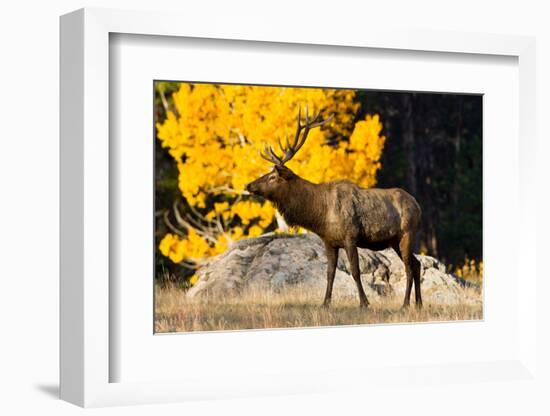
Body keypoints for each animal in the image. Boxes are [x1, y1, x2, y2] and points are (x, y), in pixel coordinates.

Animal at [248, 107, 424, 308]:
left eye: (272, 177)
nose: (249, 185)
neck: (320, 215)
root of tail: (418, 206)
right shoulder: (329, 241)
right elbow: (329, 273)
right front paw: (325, 303)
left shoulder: (350, 237)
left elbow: (355, 271)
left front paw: (364, 302)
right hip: (394, 240)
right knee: (417, 264)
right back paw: (419, 304)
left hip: (407, 234)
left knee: (409, 267)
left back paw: (405, 304)